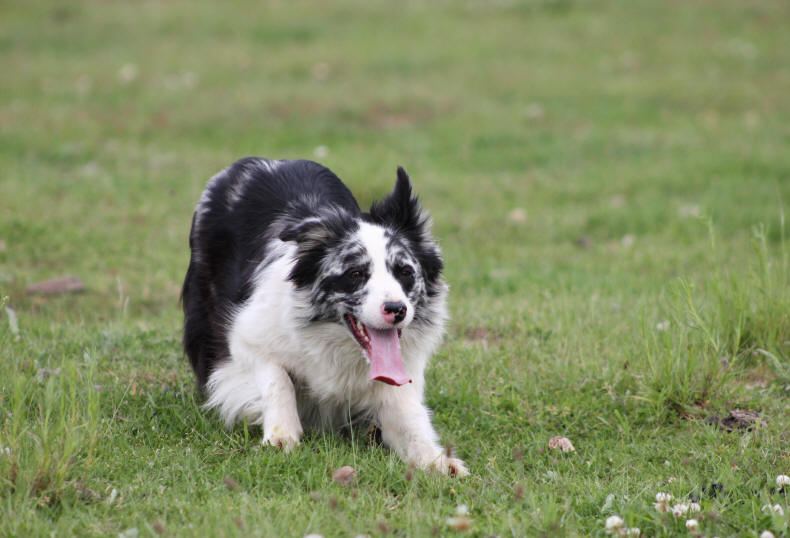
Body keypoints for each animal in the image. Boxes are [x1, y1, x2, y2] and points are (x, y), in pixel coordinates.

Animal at [184, 157, 470, 476]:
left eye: (405, 272)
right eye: (355, 274)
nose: (397, 309)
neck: (335, 343)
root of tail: (256, 161)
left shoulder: (398, 381)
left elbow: (409, 422)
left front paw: (437, 461)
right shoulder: (246, 339)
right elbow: (277, 379)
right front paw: (281, 436)